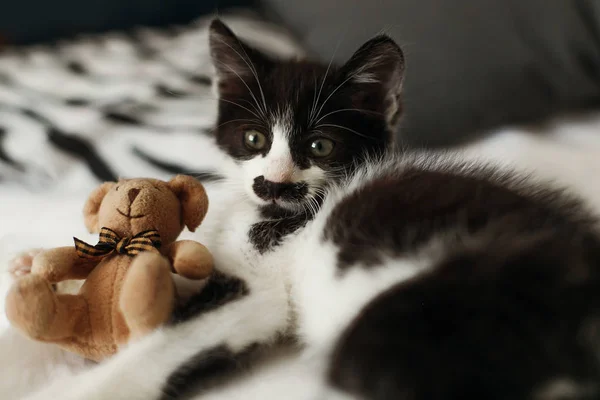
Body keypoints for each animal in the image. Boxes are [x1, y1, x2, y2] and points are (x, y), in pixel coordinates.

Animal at [18, 18, 600, 400]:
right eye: (253, 138)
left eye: (320, 147)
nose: (273, 183)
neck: (268, 217)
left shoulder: (258, 287)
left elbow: (167, 338)